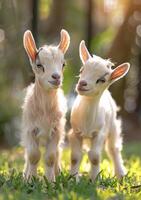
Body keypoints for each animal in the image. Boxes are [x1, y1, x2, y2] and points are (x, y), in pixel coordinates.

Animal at [21, 28, 70, 180]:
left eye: (63, 64)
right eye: (39, 65)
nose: (56, 77)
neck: (44, 111)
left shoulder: (56, 130)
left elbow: (50, 157)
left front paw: (51, 181)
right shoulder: (30, 129)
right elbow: (33, 155)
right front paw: (30, 180)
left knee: (58, 152)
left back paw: (58, 172)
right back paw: (24, 173)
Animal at [69, 39, 130, 180]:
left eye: (101, 80)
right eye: (81, 70)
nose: (82, 84)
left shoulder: (99, 133)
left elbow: (95, 156)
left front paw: (94, 178)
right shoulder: (75, 132)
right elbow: (75, 156)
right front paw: (73, 177)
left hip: (113, 126)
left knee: (113, 148)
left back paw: (120, 173)